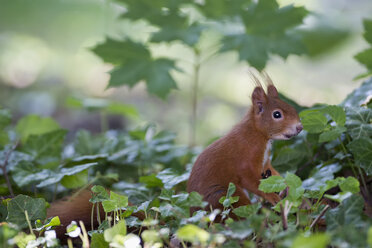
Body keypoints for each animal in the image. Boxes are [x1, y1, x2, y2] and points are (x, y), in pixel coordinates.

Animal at [189, 75, 302, 209]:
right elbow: (252, 183)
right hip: (227, 195)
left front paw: (287, 185)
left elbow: (273, 175)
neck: (257, 134)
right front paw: (274, 198)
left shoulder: (265, 163)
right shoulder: (245, 162)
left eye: (292, 107)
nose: (300, 127)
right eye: (277, 114)